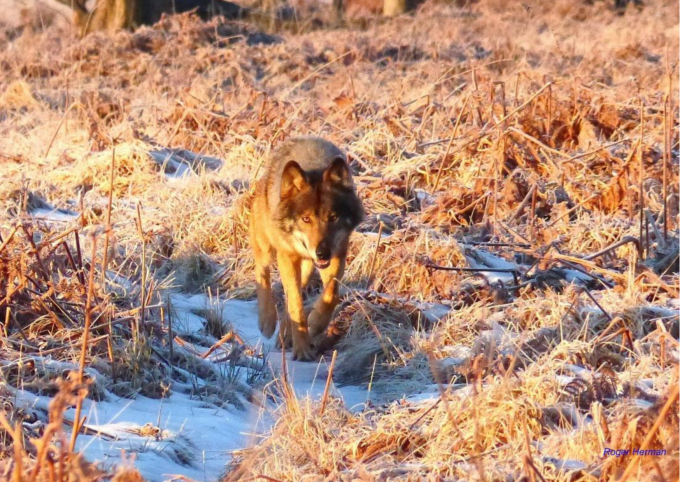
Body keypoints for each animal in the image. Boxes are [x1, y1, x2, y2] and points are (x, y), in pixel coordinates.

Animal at [250, 137, 364, 360]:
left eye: (333, 217)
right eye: (306, 219)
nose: (321, 252)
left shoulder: (338, 253)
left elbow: (331, 295)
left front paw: (316, 323)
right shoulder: (287, 256)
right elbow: (296, 305)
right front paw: (302, 350)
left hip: (306, 268)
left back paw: (285, 337)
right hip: (268, 247)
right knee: (262, 271)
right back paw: (267, 322)